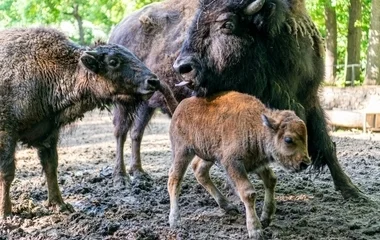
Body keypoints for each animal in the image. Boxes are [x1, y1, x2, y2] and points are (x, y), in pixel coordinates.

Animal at [108, 0, 194, 185]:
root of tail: (117, 29)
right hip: (123, 101)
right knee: (120, 131)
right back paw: (120, 176)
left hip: (146, 104)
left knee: (136, 133)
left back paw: (139, 172)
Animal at [168, 91, 310, 239]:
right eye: (288, 139)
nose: (305, 163)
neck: (257, 126)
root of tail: (181, 105)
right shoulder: (234, 164)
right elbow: (248, 193)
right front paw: (255, 230)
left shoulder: (257, 164)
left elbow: (271, 180)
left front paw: (266, 218)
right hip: (182, 151)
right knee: (174, 179)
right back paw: (175, 221)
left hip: (208, 155)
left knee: (199, 170)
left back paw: (228, 206)